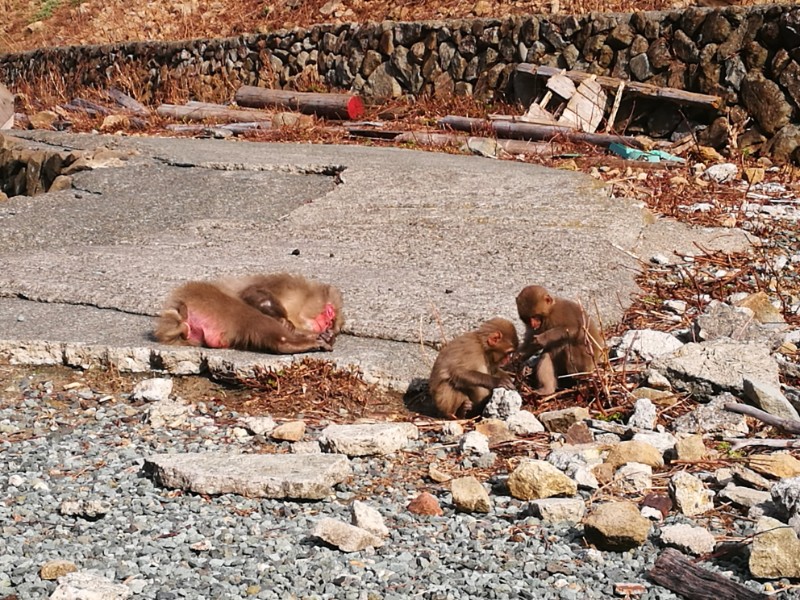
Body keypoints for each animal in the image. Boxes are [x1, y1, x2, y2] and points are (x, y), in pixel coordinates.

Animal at [154, 274, 342, 354]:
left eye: (332, 322)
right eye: (329, 315)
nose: (327, 325)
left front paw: (326, 336)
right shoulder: (287, 288)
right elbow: (251, 292)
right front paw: (285, 322)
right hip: (210, 301)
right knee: (255, 319)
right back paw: (290, 343)